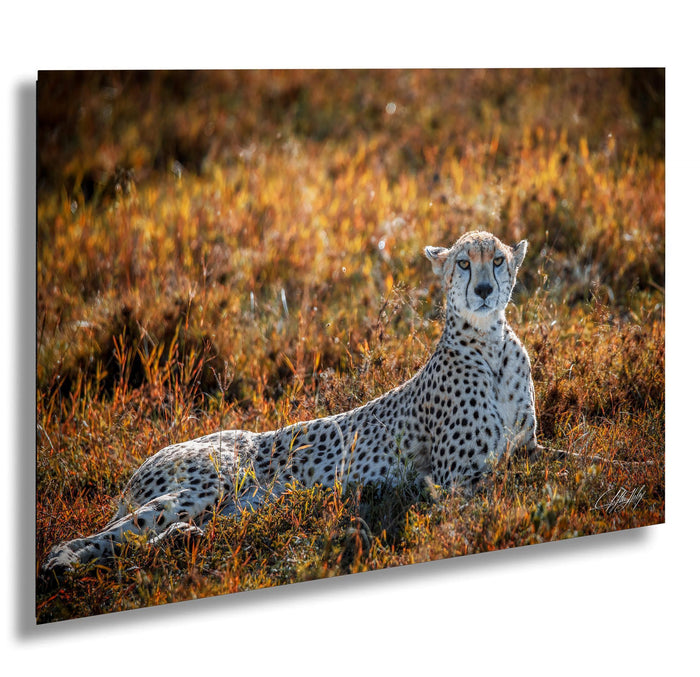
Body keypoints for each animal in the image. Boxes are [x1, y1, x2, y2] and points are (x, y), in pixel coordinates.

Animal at [41, 230, 537, 575]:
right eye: (463, 264)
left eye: (497, 261)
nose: (484, 291)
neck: (490, 343)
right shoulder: (459, 480)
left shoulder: (525, 449)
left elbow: (547, 463)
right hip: (208, 483)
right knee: (111, 534)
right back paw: (61, 564)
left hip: (238, 506)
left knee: (147, 539)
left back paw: (183, 539)